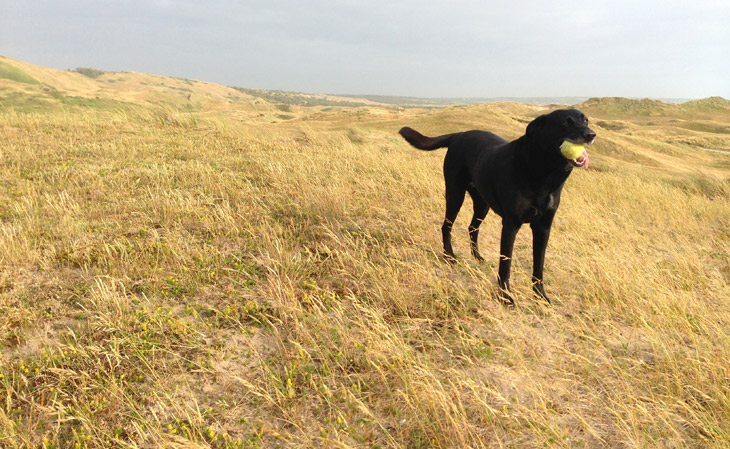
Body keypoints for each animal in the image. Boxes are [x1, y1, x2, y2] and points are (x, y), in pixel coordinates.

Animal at [400, 109, 596, 304]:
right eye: (565, 122)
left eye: (585, 120)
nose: (591, 134)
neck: (542, 173)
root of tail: (458, 134)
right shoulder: (510, 225)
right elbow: (505, 263)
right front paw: (505, 297)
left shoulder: (543, 228)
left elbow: (538, 266)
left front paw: (540, 296)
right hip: (456, 195)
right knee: (446, 226)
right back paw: (449, 256)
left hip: (482, 204)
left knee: (472, 227)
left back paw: (477, 256)